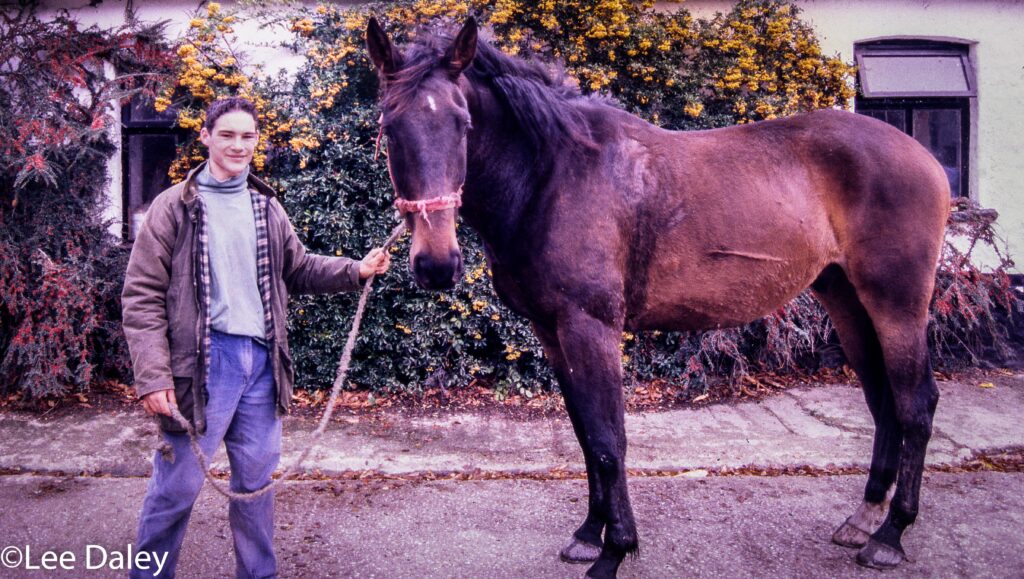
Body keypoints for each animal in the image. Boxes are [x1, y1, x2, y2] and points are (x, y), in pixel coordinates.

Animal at [366, 17, 949, 577]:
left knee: (916, 404)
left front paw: (614, 551)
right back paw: (865, 517)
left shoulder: (590, 326)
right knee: (883, 400)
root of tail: (926, 158)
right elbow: (585, 433)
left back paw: (890, 535)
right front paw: (588, 534)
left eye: (464, 125)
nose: (437, 263)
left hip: (896, 305)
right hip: (847, 301)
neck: (552, 176)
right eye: (389, 128)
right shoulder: (552, 332)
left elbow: (609, 439)